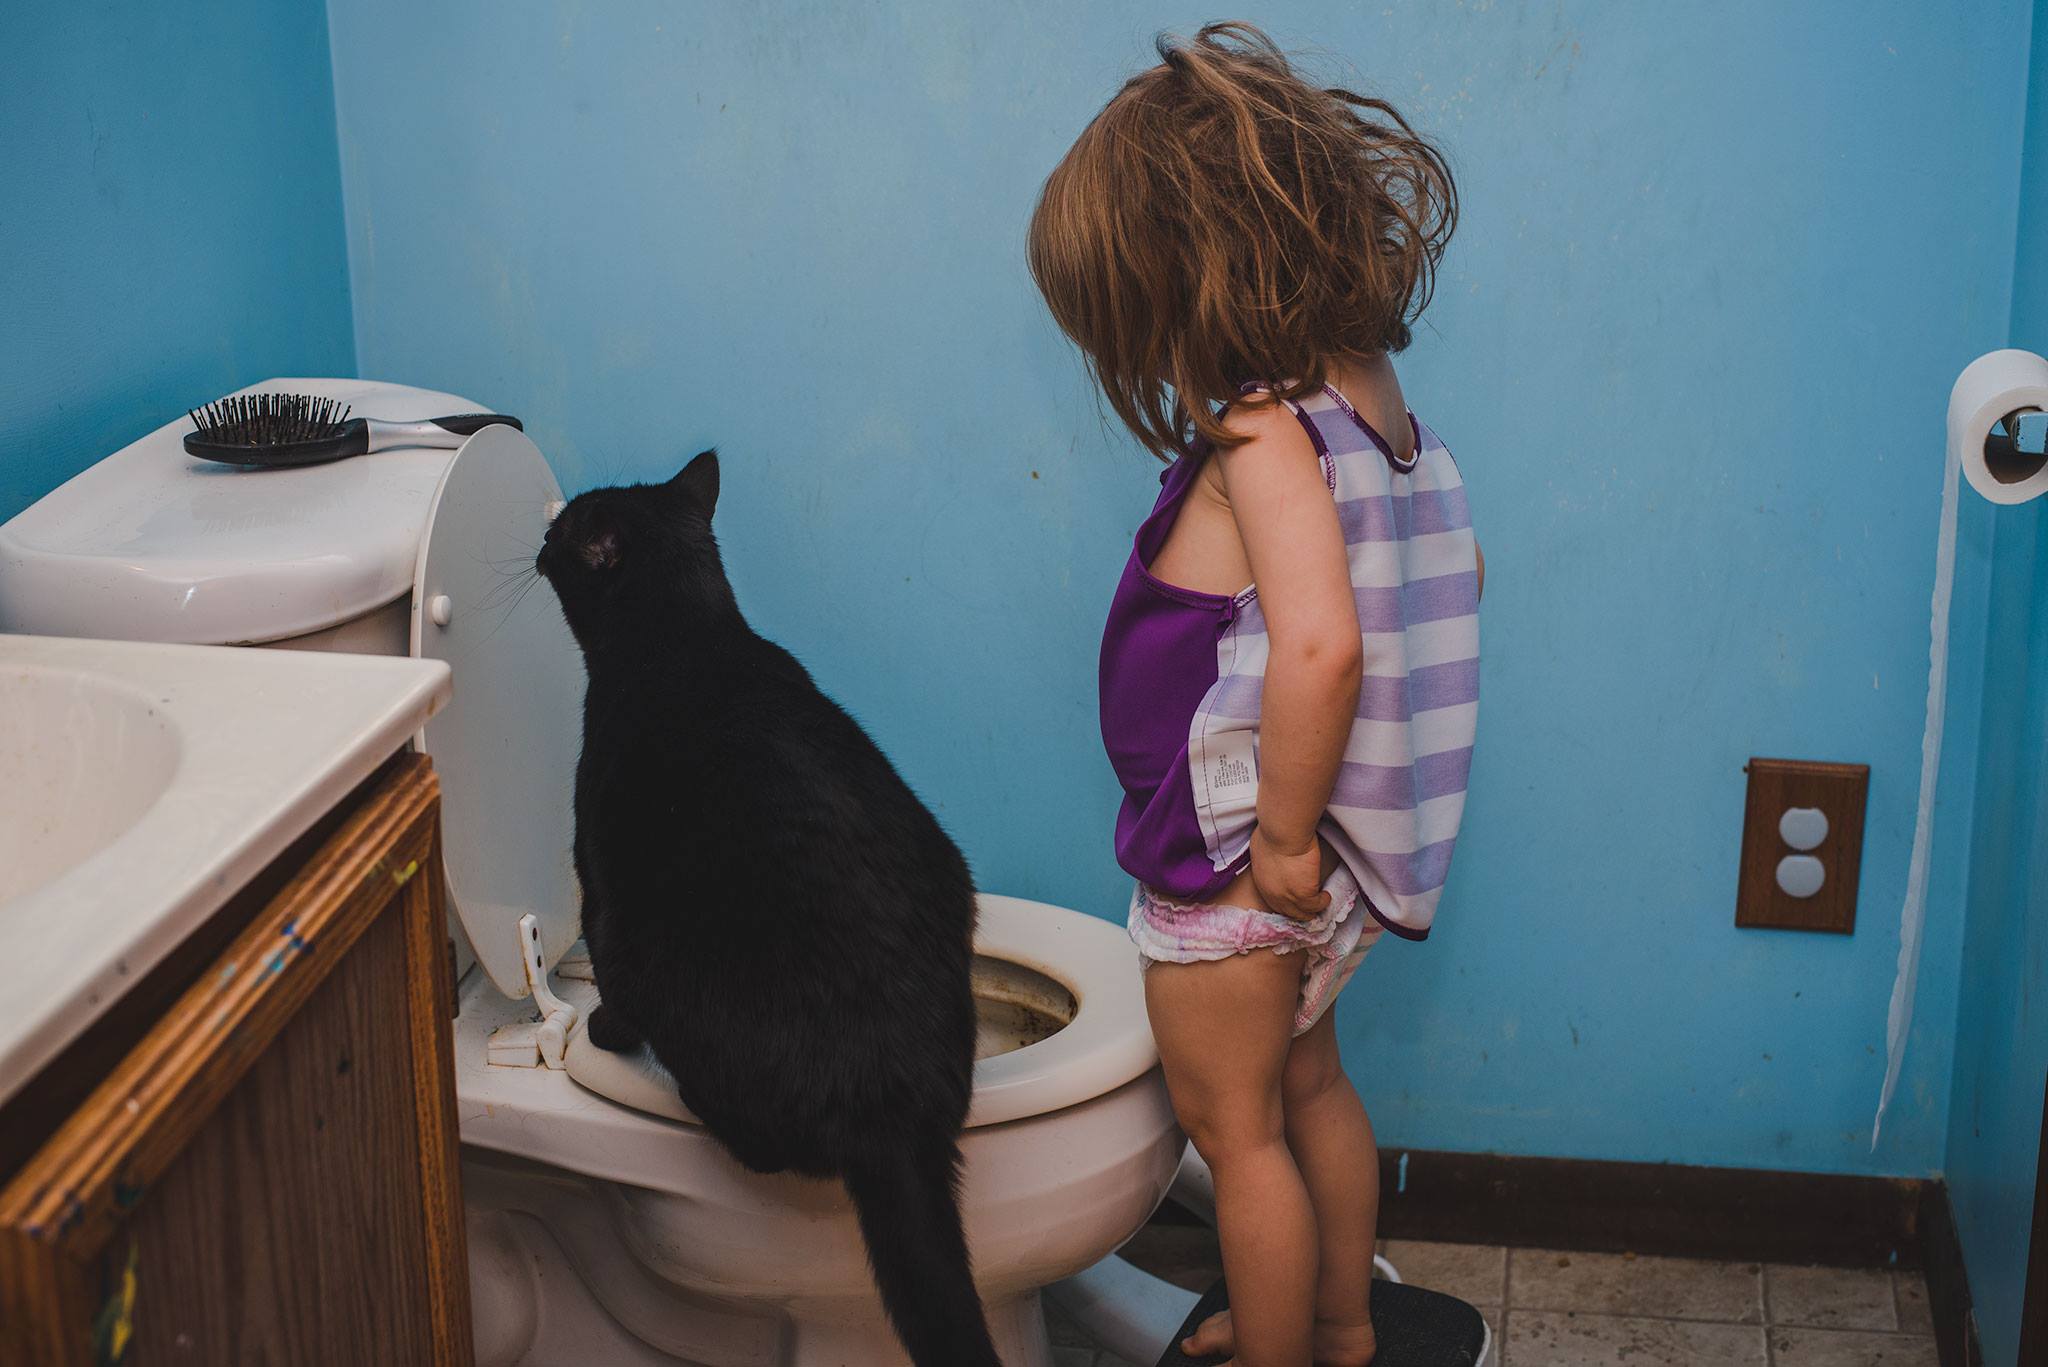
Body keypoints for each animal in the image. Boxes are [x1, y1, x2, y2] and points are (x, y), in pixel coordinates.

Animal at [536, 454, 999, 1360]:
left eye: (565, 531)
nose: (539, 534)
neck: (686, 635)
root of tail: (896, 1108)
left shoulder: (595, 872)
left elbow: (604, 968)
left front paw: (605, 1029)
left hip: (669, 968)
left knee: (758, 1144)